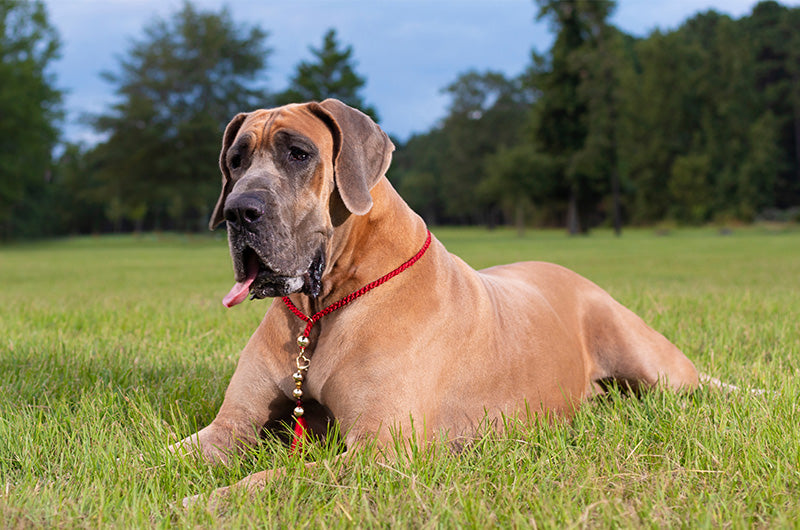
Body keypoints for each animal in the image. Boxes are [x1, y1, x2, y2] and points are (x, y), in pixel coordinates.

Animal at [170, 100, 700, 504]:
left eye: (299, 153)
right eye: (235, 161)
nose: (238, 210)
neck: (321, 311)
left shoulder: (380, 449)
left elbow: (272, 478)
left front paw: (201, 501)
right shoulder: (230, 426)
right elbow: (163, 455)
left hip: (652, 362)